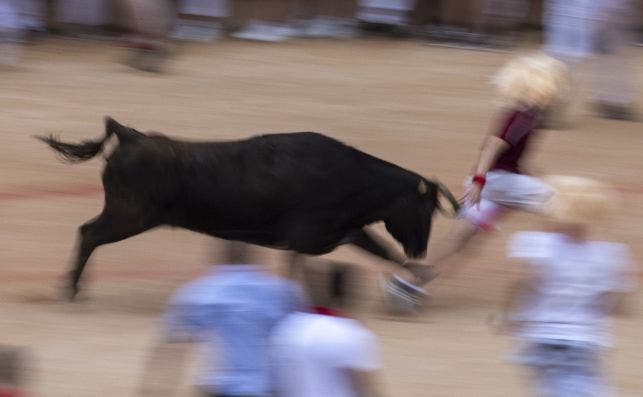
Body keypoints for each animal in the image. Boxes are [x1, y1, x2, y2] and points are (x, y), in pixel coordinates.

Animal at [37, 117, 460, 296]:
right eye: (424, 211)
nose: (420, 251)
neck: (349, 178)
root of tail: (129, 135)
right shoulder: (308, 237)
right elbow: (299, 268)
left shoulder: (339, 232)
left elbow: (379, 249)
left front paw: (419, 276)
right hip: (128, 214)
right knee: (89, 233)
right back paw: (71, 288)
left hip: (127, 214)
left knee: (88, 233)